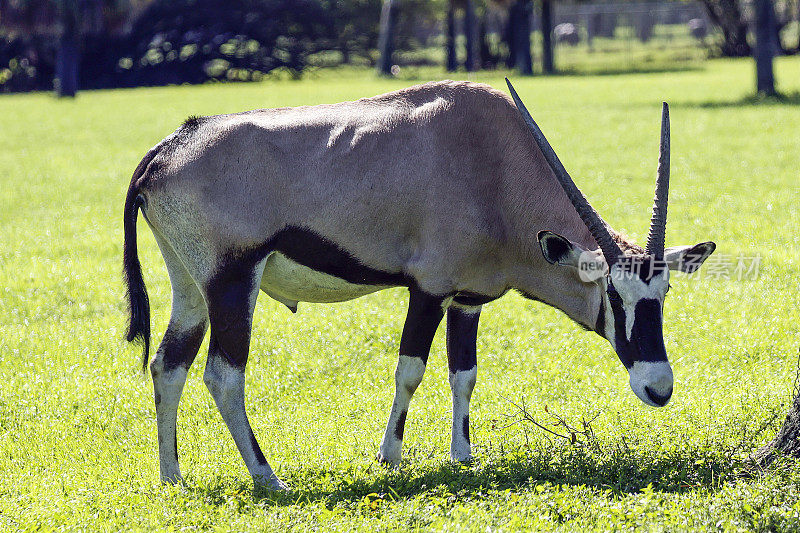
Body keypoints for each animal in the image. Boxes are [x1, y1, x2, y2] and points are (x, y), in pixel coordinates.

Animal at [126, 77, 720, 488]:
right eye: (614, 296)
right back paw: (268, 478)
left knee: (168, 363)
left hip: (191, 286)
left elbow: (464, 374)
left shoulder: (468, 299)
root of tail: (168, 149)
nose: (659, 388)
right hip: (232, 280)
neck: (493, 167)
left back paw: (172, 477)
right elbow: (410, 369)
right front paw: (390, 456)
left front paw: (463, 455)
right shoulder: (428, 289)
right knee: (224, 374)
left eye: (663, 294)